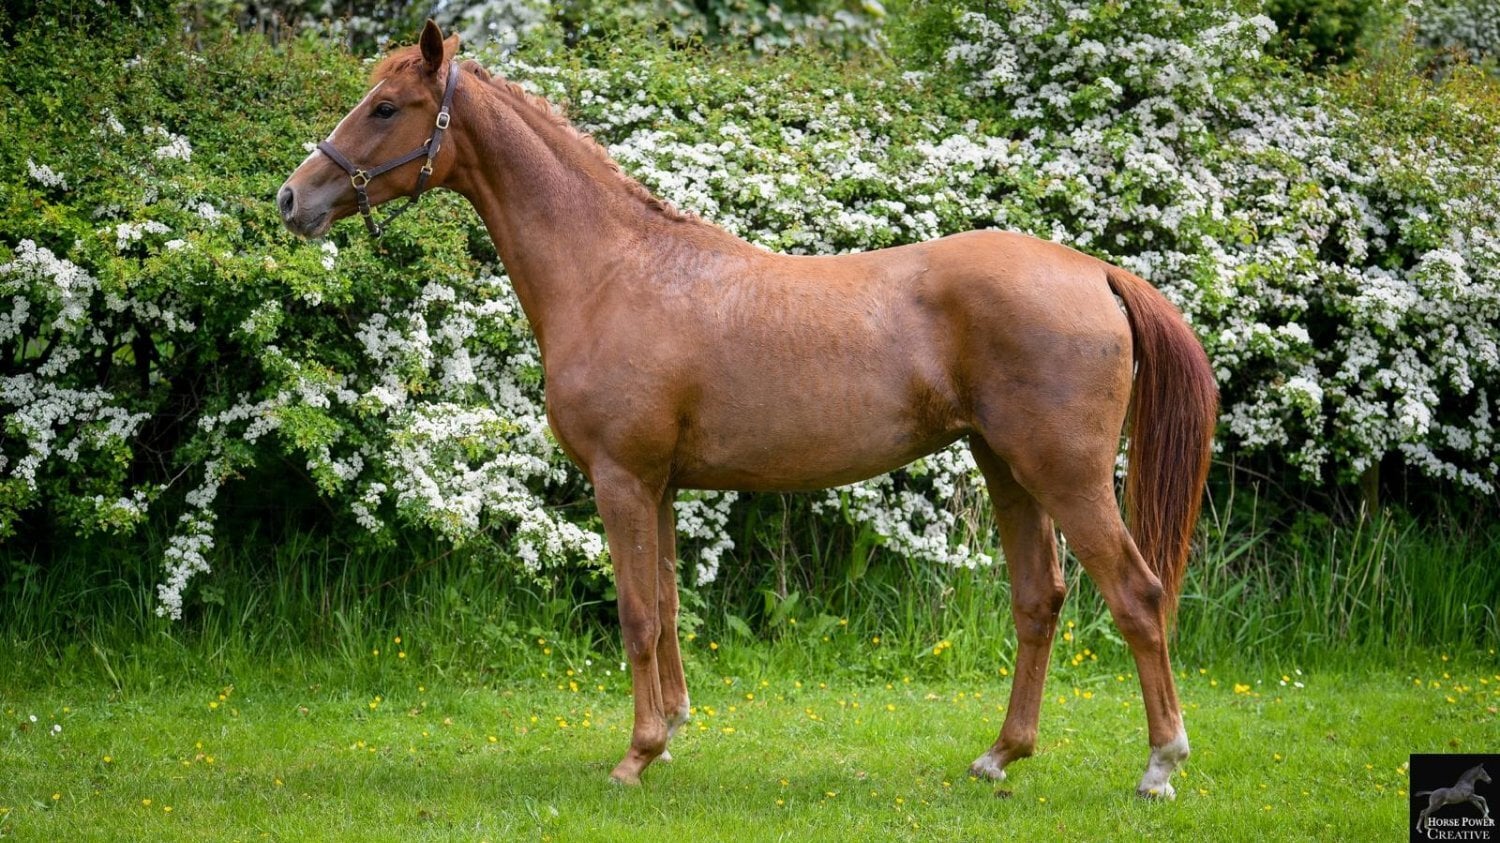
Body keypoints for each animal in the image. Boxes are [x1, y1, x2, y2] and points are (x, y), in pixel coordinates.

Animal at [278, 20, 1218, 798]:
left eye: (386, 106)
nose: (294, 198)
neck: (613, 269)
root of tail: (1095, 271)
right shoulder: (659, 486)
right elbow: (665, 608)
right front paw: (669, 734)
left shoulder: (622, 479)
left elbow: (635, 614)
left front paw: (635, 755)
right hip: (1008, 469)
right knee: (1039, 599)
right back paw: (999, 755)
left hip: (1065, 476)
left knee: (1136, 595)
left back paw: (1160, 765)